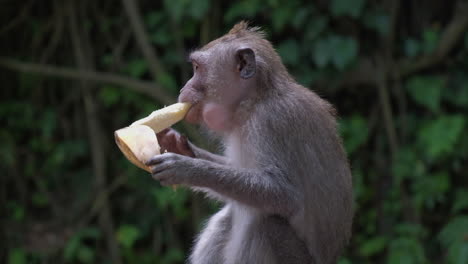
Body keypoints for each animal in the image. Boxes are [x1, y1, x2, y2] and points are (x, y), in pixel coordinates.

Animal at [145, 22, 352, 264]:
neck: (253, 103)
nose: (183, 88)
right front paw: (178, 146)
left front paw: (186, 168)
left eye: (197, 68)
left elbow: (285, 195)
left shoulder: (272, 122)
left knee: (263, 223)